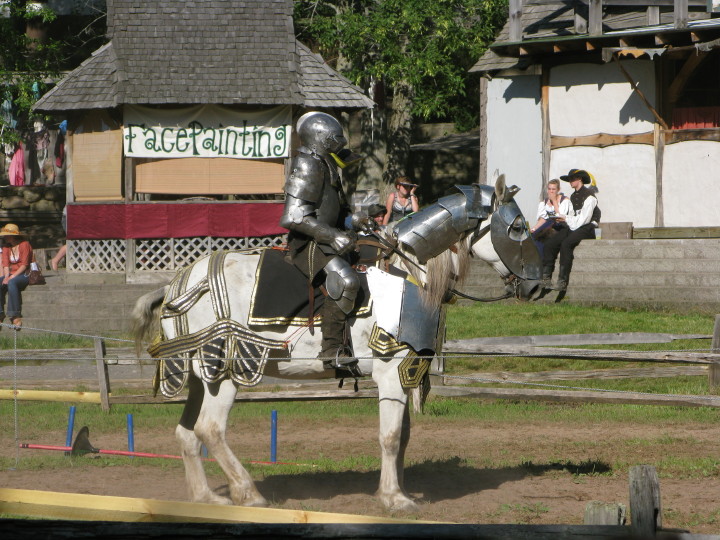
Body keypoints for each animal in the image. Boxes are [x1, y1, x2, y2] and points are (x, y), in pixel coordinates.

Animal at [132, 175, 544, 512]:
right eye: (517, 227)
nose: (537, 286)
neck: (408, 272)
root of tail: (179, 283)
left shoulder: (405, 374)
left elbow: (403, 437)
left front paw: (396, 489)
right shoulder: (391, 373)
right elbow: (390, 437)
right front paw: (394, 499)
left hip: (199, 376)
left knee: (186, 434)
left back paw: (205, 497)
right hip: (227, 371)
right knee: (210, 430)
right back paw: (248, 493)